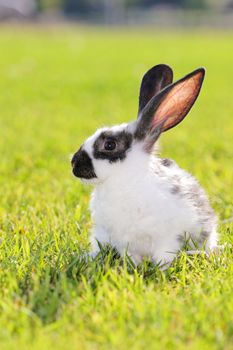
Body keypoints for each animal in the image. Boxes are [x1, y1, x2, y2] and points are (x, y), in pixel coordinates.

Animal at [71, 64, 218, 266]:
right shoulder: (124, 242)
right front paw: (130, 267)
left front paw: (160, 269)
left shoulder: (168, 238)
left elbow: (164, 256)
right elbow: (130, 257)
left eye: (109, 145)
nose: (74, 164)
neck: (123, 180)